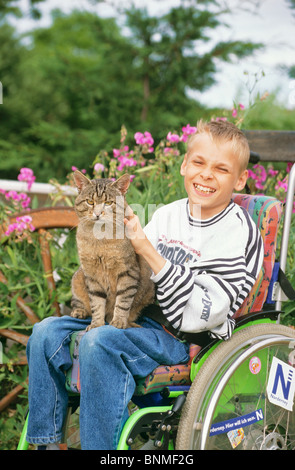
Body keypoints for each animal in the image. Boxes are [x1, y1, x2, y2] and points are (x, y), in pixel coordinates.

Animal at [71, 171, 156, 332]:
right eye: (90, 202)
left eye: (108, 203)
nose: (98, 214)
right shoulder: (91, 274)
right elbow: (96, 303)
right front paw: (96, 324)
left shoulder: (128, 271)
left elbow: (123, 301)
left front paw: (118, 321)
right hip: (78, 277)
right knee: (77, 301)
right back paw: (79, 311)